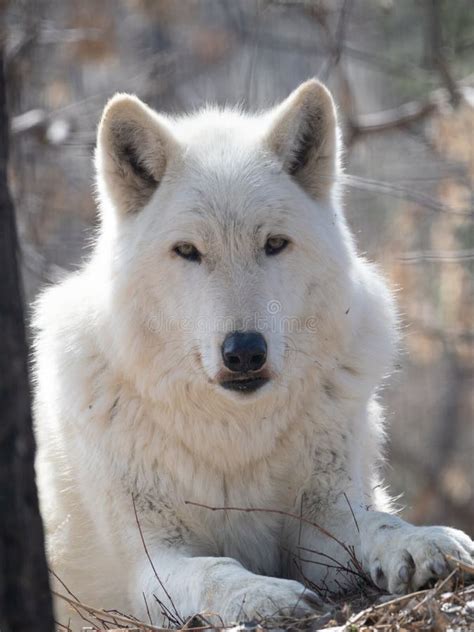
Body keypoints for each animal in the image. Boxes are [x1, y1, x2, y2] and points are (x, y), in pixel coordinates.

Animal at [34, 81, 474, 628]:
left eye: (274, 244)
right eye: (188, 251)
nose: (244, 351)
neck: (235, 433)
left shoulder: (324, 518)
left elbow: (380, 523)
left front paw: (423, 541)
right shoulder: (150, 560)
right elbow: (216, 568)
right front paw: (263, 594)